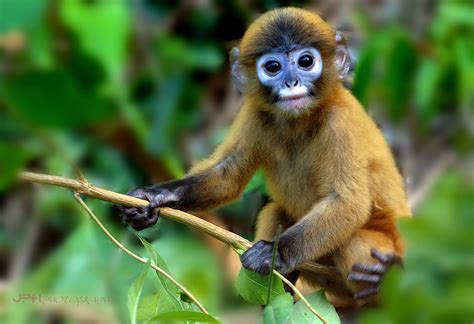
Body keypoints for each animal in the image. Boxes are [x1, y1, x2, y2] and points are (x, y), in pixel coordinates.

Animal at [118, 7, 412, 304]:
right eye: (272, 67)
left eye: (306, 61)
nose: (292, 82)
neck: (299, 122)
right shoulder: (254, 113)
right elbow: (228, 176)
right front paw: (153, 197)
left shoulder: (341, 123)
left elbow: (348, 202)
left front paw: (275, 252)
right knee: (274, 211)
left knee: (353, 242)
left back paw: (381, 282)